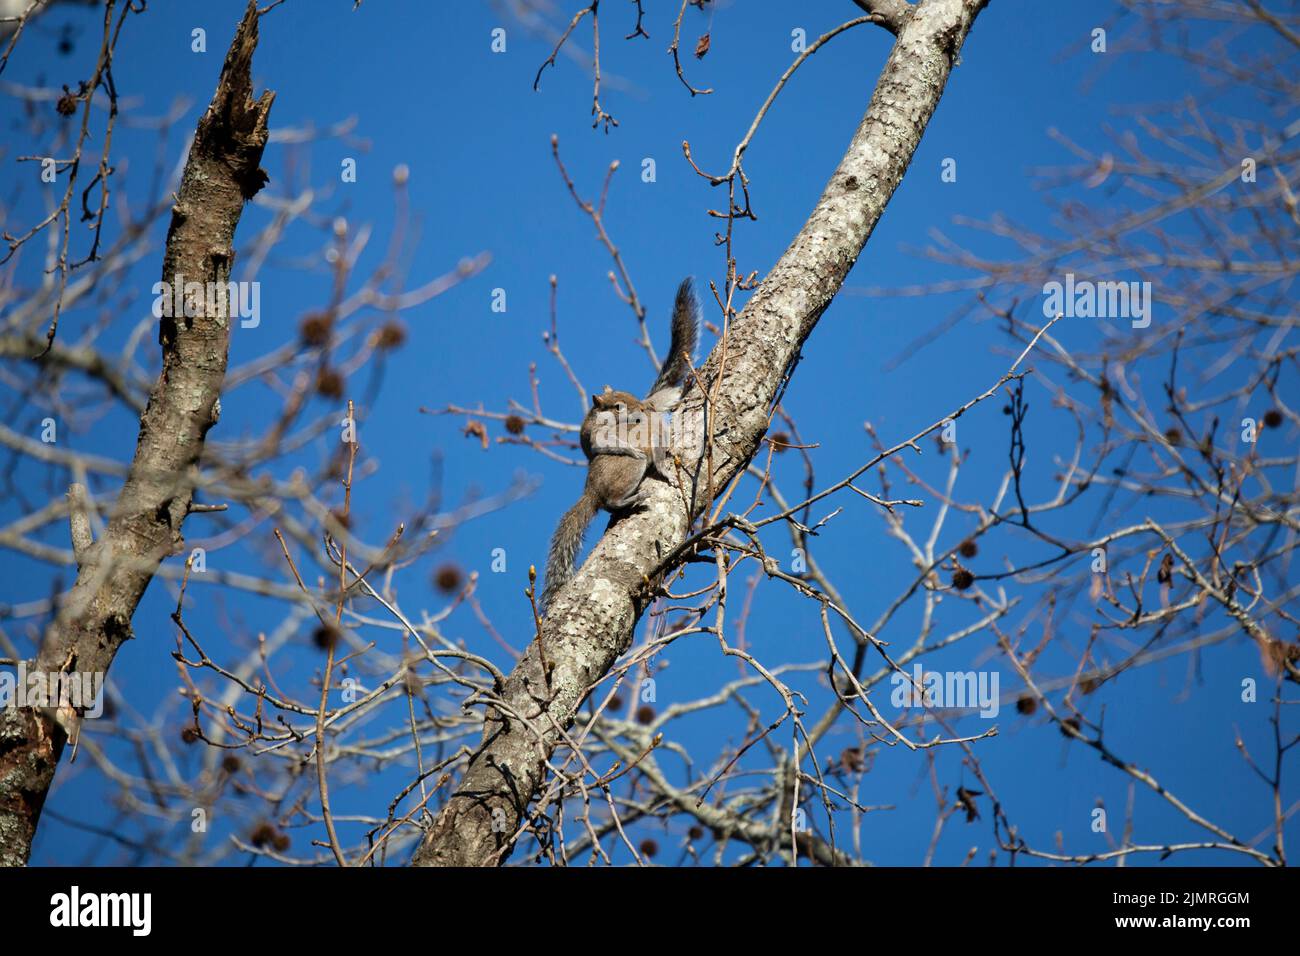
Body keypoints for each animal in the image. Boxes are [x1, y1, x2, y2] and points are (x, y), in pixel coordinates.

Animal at [540, 277, 700, 612]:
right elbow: (656, 455)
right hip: (628, 471)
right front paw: (667, 470)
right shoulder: (650, 436)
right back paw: (632, 498)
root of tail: (590, 493)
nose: (644, 408)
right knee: (611, 500)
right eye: (620, 405)